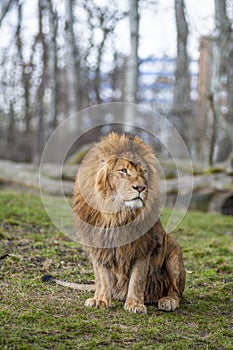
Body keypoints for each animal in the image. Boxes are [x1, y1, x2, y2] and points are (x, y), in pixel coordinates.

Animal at [43, 133, 186, 314]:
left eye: (144, 172)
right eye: (123, 170)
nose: (141, 188)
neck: (116, 214)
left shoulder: (143, 247)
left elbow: (138, 278)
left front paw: (135, 304)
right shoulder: (98, 244)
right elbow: (102, 278)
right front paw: (100, 300)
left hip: (173, 253)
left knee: (176, 291)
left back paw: (168, 301)